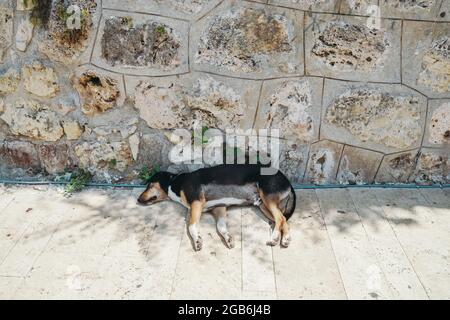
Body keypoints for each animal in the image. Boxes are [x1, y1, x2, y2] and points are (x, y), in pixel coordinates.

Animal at [139, 164, 298, 251]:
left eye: (149, 185)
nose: (138, 199)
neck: (174, 182)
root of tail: (287, 180)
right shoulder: (218, 208)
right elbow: (220, 228)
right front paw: (228, 239)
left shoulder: (196, 202)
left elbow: (191, 226)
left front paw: (197, 241)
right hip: (262, 205)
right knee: (284, 220)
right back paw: (285, 239)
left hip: (267, 197)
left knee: (280, 218)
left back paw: (275, 238)